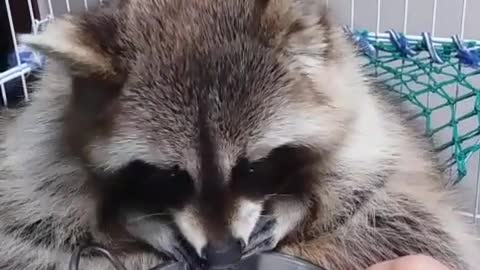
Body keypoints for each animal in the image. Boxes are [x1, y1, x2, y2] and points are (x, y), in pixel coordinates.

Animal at [0, 0, 478, 268]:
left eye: (254, 166)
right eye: (168, 176)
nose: (223, 256)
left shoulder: (365, 119)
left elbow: (354, 182)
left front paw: (296, 206)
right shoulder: (46, 131)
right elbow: (50, 202)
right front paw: (135, 217)